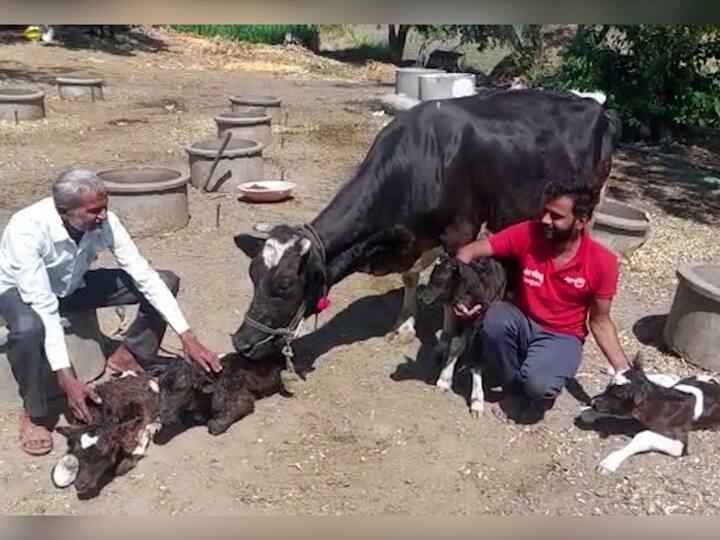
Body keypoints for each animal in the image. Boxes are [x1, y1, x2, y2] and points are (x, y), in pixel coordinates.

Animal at [231, 89, 621, 376]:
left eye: (285, 286)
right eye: (252, 275)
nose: (241, 343)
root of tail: (596, 106)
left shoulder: (460, 232)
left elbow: (452, 291)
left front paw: (444, 343)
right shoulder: (415, 237)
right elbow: (411, 277)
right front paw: (403, 324)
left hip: (591, 200)